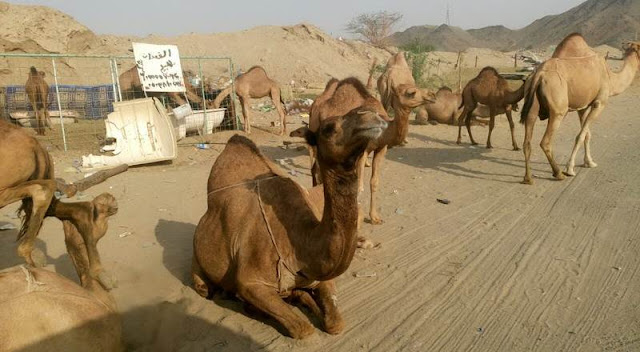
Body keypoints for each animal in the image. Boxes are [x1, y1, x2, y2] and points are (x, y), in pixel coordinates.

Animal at [192, 106, 388, 338]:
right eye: (328, 128)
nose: (370, 113)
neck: (301, 246)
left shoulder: (320, 276)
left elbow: (336, 325)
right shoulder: (251, 282)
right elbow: (304, 330)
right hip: (199, 263)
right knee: (204, 287)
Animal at [520, 33, 640, 184]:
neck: (610, 77)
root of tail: (538, 75)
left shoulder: (582, 107)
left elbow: (587, 134)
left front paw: (589, 162)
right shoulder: (599, 103)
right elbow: (581, 135)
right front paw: (570, 168)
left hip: (531, 106)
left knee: (527, 141)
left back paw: (528, 178)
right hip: (558, 110)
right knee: (545, 142)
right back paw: (559, 173)